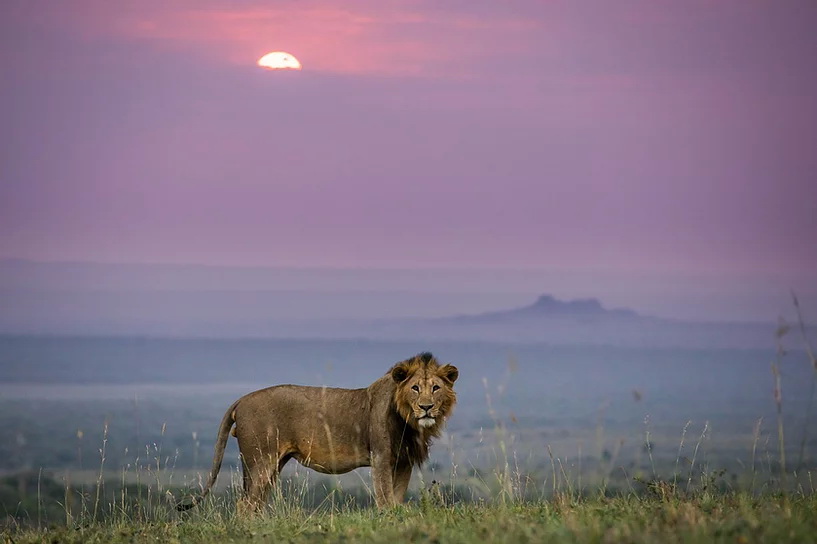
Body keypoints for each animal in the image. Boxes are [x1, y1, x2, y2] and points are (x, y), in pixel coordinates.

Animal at [176, 352, 458, 513]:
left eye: (435, 388)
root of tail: (241, 400)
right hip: (261, 461)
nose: (426, 407)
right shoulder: (380, 457)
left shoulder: (403, 462)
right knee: (245, 504)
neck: (409, 421)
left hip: (268, 464)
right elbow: (386, 500)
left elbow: (397, 500)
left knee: (254, 502)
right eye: (415, 388)